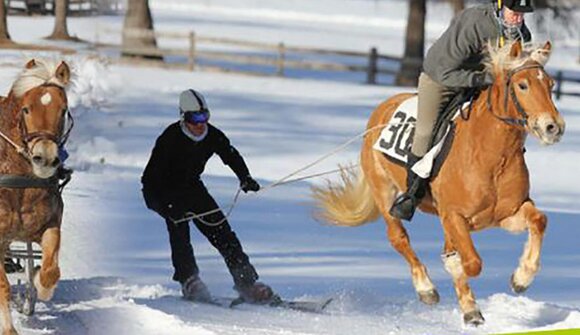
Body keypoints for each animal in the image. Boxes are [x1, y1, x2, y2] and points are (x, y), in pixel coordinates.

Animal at [0, 59, 72, 334]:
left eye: (63, 110)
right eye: (26, 109)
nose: (45, 158)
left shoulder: (49, 225)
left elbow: (50, 270)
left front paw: (39, 283)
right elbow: (3, 287)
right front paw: (8, 328)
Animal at [314, 41, 564, 326]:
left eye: (551, 84)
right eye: (522, 85)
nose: (553, 127)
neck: (492, 155)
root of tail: (382, 108)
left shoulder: (506, 214)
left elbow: (539, 220)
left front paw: (521, 278)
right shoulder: (454, 216)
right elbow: (471, 263)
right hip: (384, 191)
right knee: (398, 237)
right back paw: (427, 289)